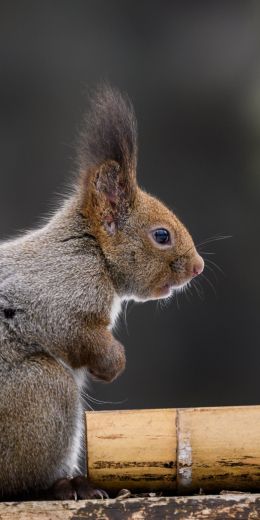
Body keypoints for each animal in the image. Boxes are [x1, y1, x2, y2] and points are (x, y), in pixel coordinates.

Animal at [0, 85, 203, 500]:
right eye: (161, 236)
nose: (198, 267)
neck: (89, 249)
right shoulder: (57, 295)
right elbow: (75, 331)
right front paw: (113, 363)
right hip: (40, 393)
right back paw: (65, 485)